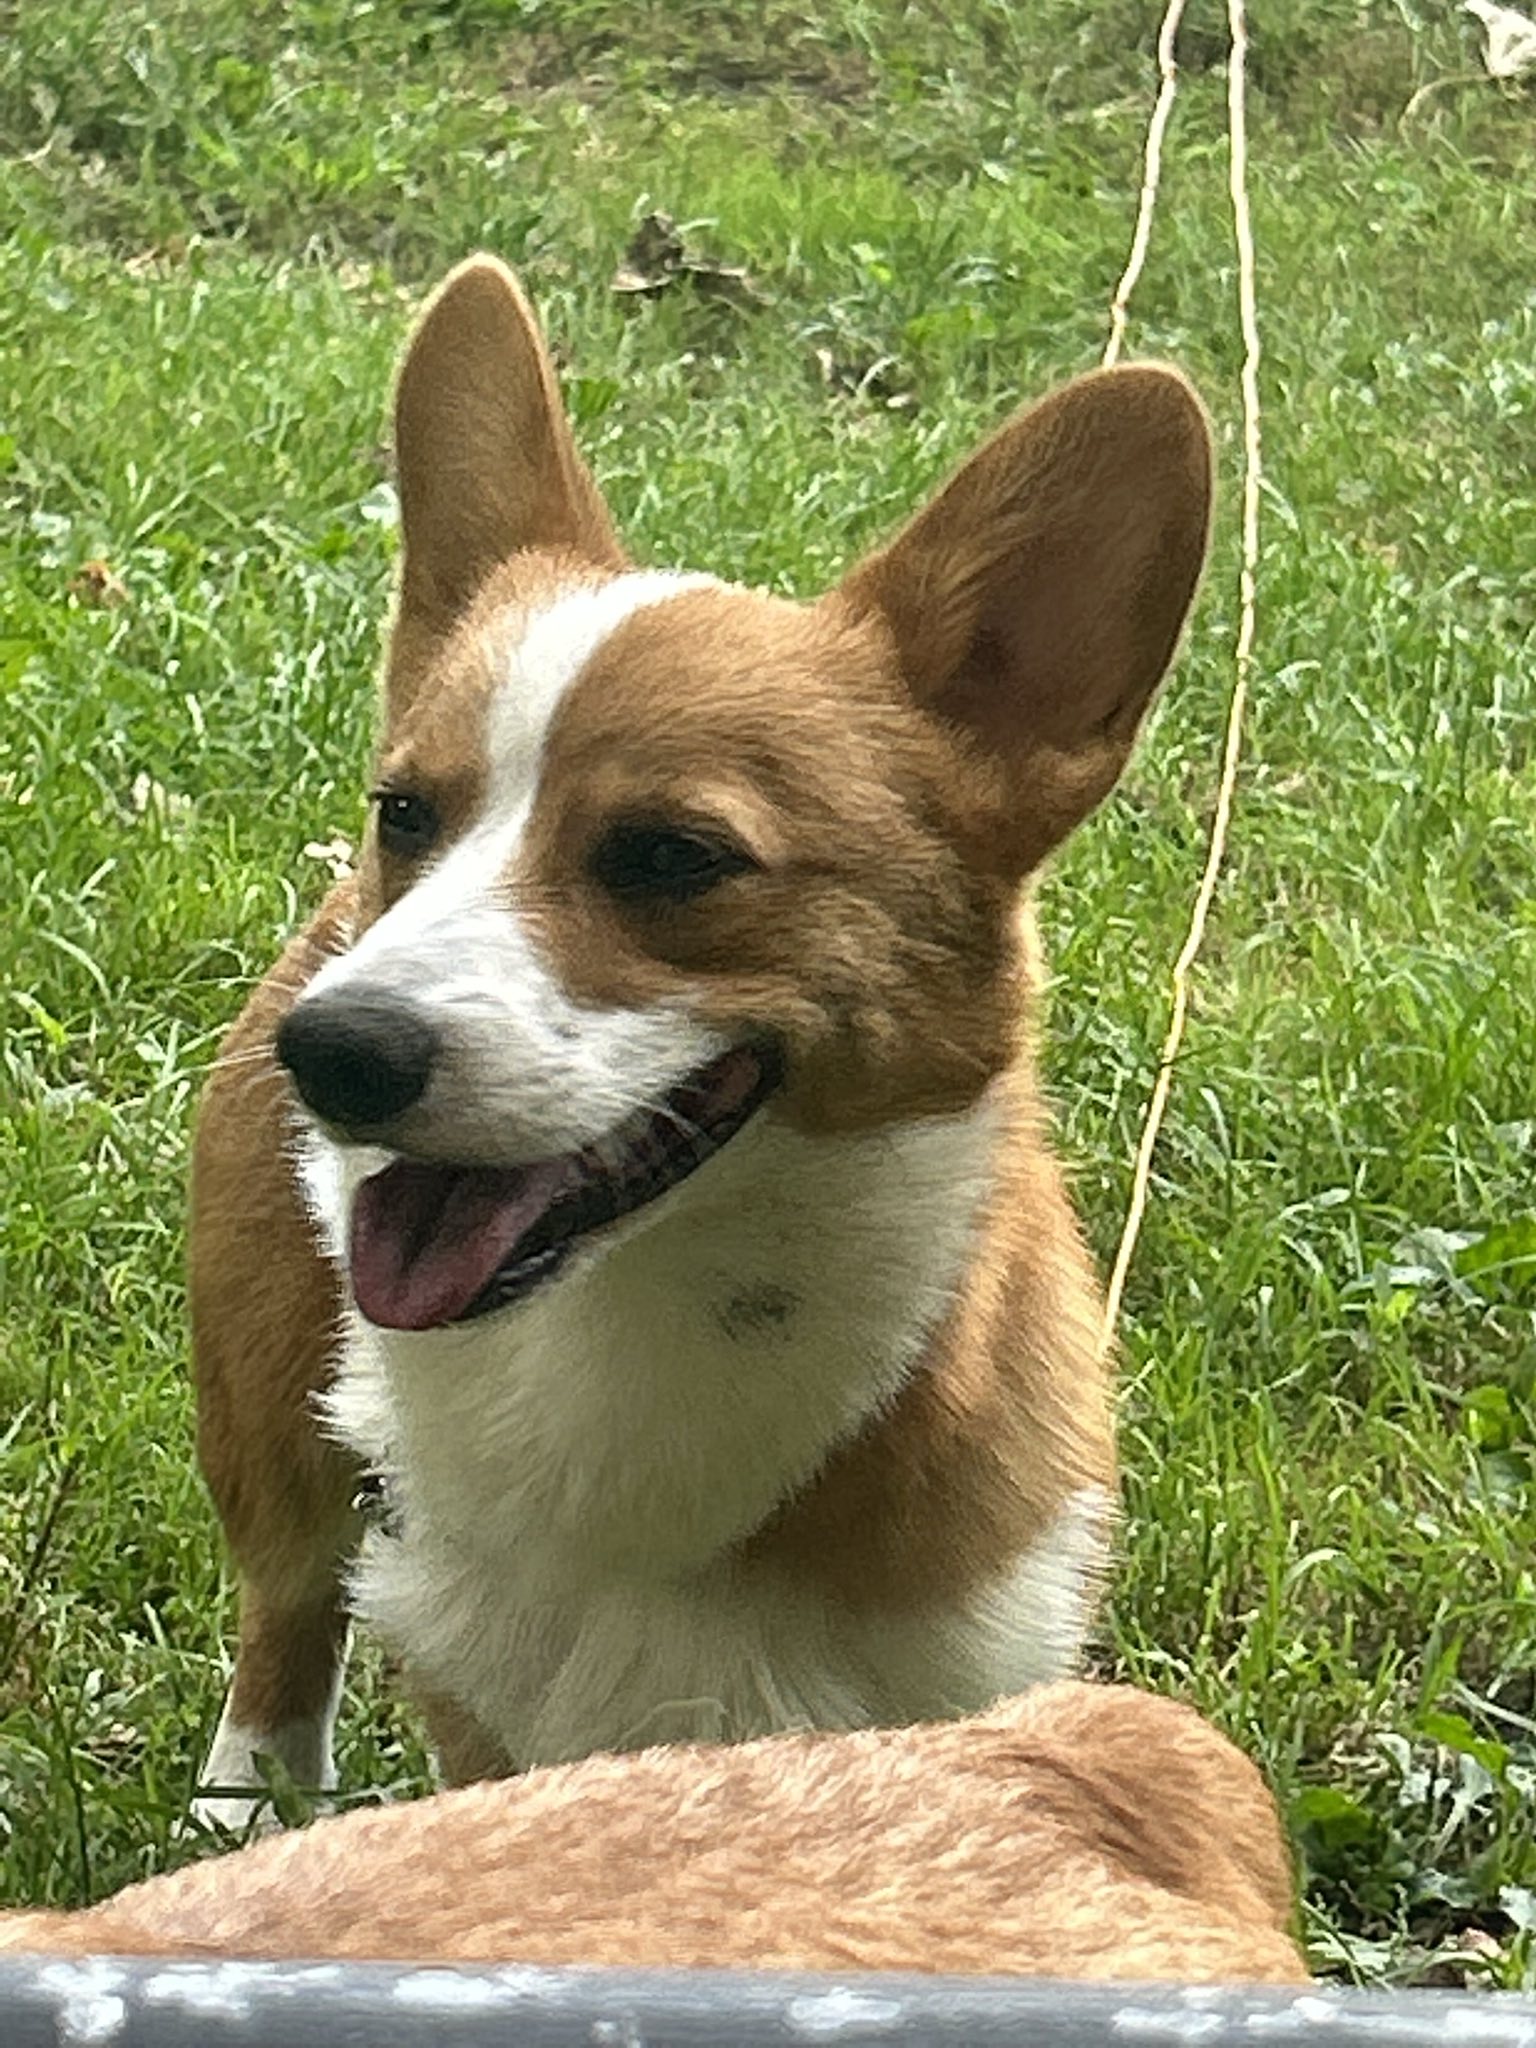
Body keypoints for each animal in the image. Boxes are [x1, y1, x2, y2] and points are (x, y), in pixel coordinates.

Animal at [183, 260, 1212, 1826]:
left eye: (672, 855)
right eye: (406, 814)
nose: (335, 1054)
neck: (642, 1333)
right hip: (267, 1404)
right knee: (285, 1612)